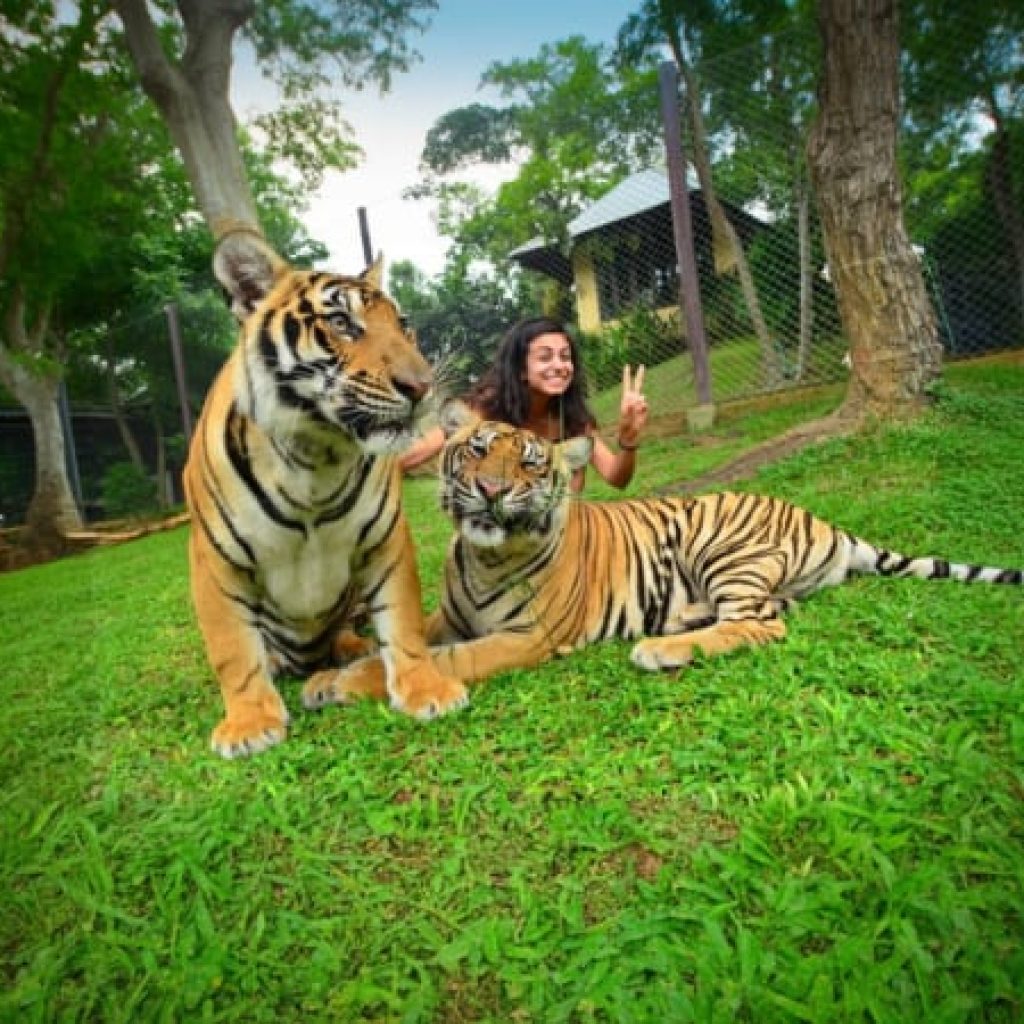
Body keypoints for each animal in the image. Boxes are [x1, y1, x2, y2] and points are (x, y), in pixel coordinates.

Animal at [184, 230, 466, 758]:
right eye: (341, 323)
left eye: (404, 326)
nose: (422, 387)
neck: (315, 455)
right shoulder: (214, 559)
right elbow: (232, 650)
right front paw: (249, 724)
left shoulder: (385, 540)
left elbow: (402, 622)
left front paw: (426, 689)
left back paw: (356, 648)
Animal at [301, 400, 1022, 706]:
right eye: (478, 450)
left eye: (530, 464)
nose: (492, 490)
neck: (484, 556)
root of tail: (823, 520)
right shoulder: (449, 616)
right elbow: (409, 639)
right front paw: (336, 670)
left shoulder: (526, 637)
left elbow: (443, 658)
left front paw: (340, 682)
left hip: (721, 546)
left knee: (762, 625)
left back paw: (660, 649)